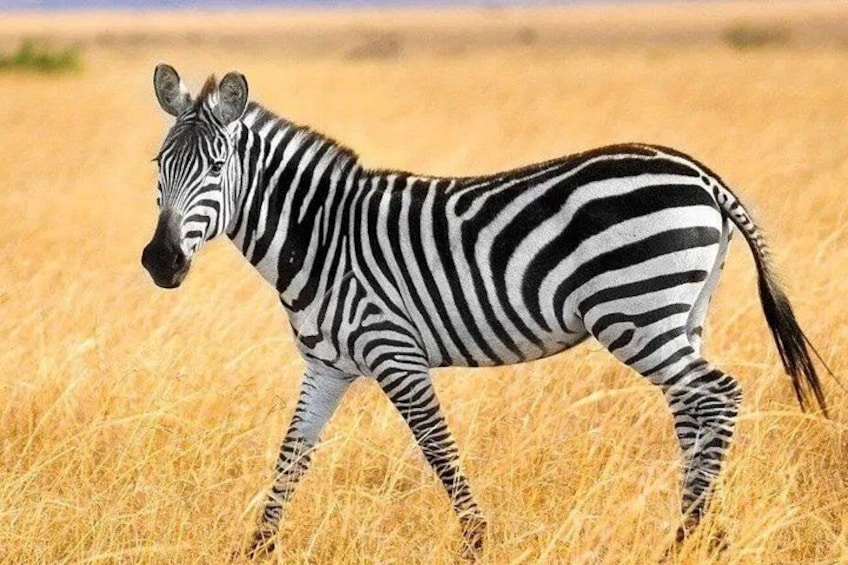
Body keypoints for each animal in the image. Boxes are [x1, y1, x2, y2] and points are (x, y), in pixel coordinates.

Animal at [142, 64, 830, 558]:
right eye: (159, 165)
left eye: (216, 166)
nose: (159, 262)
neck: (320, 235)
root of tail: (700, 174)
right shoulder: (327, 366)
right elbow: (291, 456)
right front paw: (257, 547)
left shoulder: (394, 352)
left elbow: (438, 449)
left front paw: (477, 542)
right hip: (681, 313)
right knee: (694, 408)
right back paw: (704, 535)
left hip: (636, 312)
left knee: (717, 395)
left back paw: (688, 536)